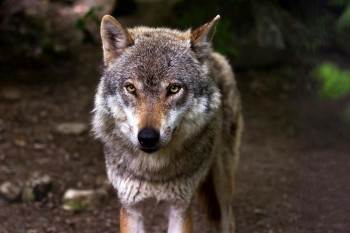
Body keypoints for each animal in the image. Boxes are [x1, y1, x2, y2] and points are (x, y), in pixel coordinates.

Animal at [91, 15, 242, 233]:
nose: (147, 138)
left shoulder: (180, 207)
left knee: (228, 218)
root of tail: (212, 55)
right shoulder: (131, 207)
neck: (154, 172)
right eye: (131, 88)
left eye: (174, 89)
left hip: (223, 182)